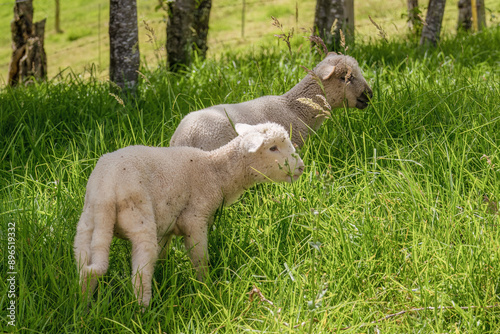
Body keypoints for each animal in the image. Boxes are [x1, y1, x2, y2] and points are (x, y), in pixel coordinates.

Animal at [72, 121, 302, 306]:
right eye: (273, 147)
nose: (301, 167)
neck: (216, 171)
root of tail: (106, 189)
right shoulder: (195, 219)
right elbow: (200, 259)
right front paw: (205, 288)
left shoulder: (166, 225)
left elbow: (163, 254)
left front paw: (165, 274)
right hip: (138, 218)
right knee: (139, 273)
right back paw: (143, 309)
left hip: (87, 223)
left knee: (85, 268)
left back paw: (83, 307)